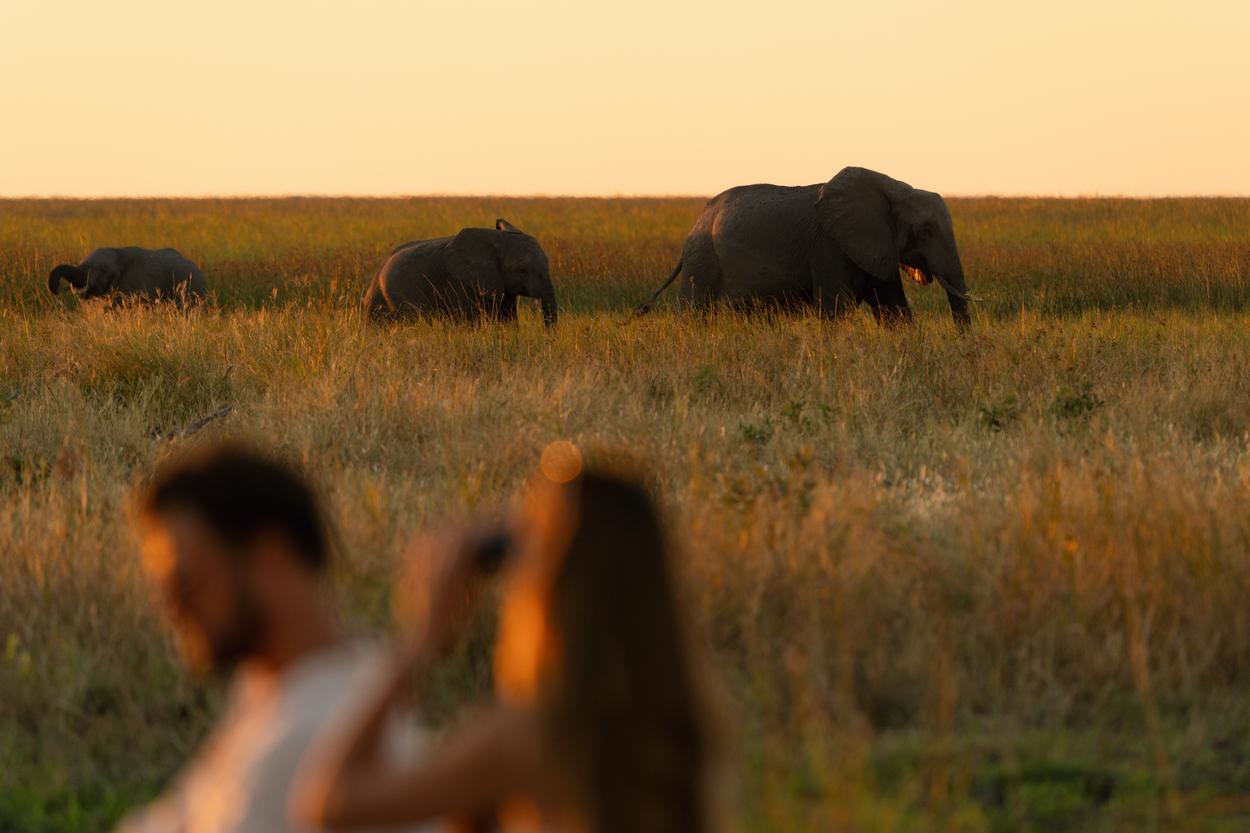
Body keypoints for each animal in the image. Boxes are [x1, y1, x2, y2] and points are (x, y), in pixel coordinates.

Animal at [362, 217, 557, 325]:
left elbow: (507, 319)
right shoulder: (457, 282)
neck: (495, 240)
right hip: (377, 298)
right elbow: (470, 322)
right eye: (522, 269)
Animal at [635, 165, 975, 325]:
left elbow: (894, 309)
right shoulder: (829, 247)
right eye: (925, 231)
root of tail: (696, 223)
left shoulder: (876, 245)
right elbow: (835, 310)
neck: (893, 188)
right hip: (703, 259)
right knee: (693, 314)